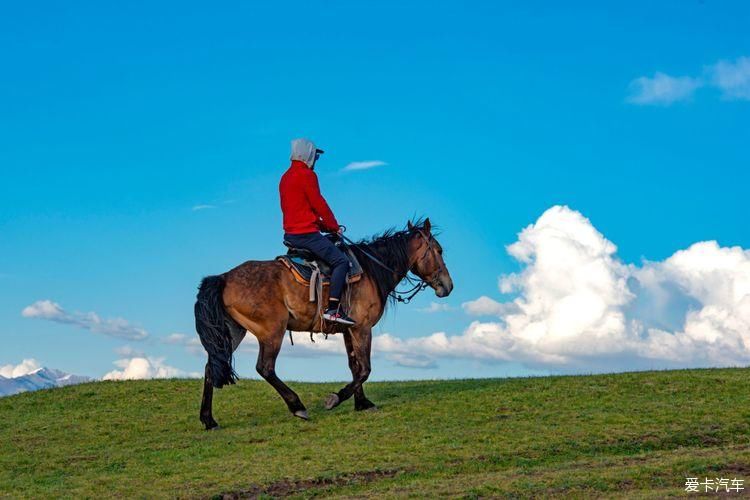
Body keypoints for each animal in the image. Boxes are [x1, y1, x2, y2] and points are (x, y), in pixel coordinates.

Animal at [194, 219, 452, 430]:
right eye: (439, 250)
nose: (448, 286)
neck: (371, 270)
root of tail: (224, 278)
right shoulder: (362, 328)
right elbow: (365, 369)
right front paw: (336, 399)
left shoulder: (349, 329)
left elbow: (354, 367)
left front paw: (362, 403)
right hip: (272, 331)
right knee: (265, 368)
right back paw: (297, 406)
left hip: (234, 331)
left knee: (210, 367)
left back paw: (209, 420)